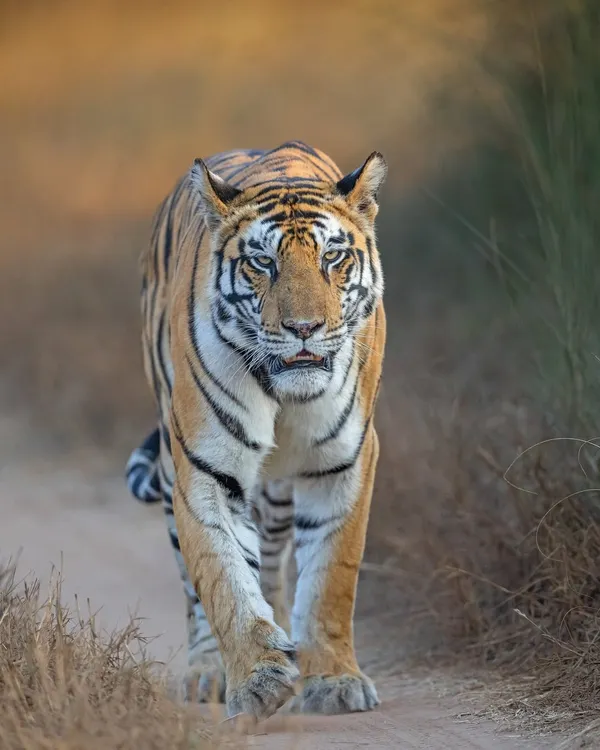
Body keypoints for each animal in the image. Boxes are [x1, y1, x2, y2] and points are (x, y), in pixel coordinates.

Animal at [125, 140, 387, 719]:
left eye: (332, 257)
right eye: (262, 262)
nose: (304, 328)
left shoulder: (344, 461)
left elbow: (331, 578)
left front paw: (334, 680)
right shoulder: (205, 467)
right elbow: (222, 578)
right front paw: (259, 680)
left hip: (279, 492)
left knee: (272, 558)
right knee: (195, 582)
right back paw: (207, 671)